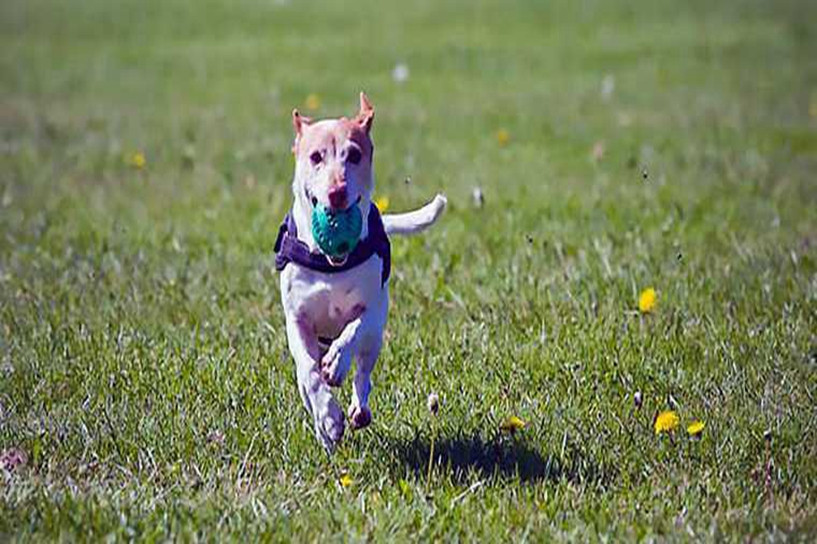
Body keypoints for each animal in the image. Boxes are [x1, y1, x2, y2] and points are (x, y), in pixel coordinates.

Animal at [278, 92, 446, 450]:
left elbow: (354, 330)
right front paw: (328, 418)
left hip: (376, 341)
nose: (337, 191)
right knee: (306, 380)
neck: (330, 263)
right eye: (315, 156)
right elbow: (310, 374)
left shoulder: (374, 309)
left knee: (364, 373)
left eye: (354, 155)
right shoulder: (297, 320)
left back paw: (358, 408)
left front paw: (337, 363)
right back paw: (325, 430)